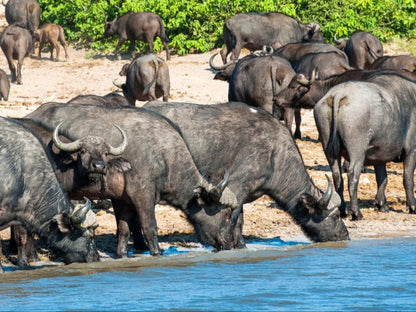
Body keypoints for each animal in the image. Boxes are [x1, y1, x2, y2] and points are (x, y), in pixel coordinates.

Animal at [21, 103, 239, 258]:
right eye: (226, 213)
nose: (229, 243)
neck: (164, 156)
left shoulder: (122, 199)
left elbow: (124, 229)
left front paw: (122, 254)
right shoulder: (144, 197)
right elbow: (149, 227)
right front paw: (157, 252)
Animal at [145, 100, 350, 246]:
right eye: (336, 216)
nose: (345, 235)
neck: (276, 154)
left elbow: (240, 220)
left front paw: (241, 244)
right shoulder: (236, 187)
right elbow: (234, 218)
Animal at [314, 72, 416, 221]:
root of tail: (338, 93)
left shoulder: (380, 157)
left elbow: (382, 179)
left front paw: (381, 204)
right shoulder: (412, 151)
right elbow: (407, 179)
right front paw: (412, 206)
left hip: (329, 150)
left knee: (337, 177)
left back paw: (343, 210)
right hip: (357, 151)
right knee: (352, 176)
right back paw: (356, 212)